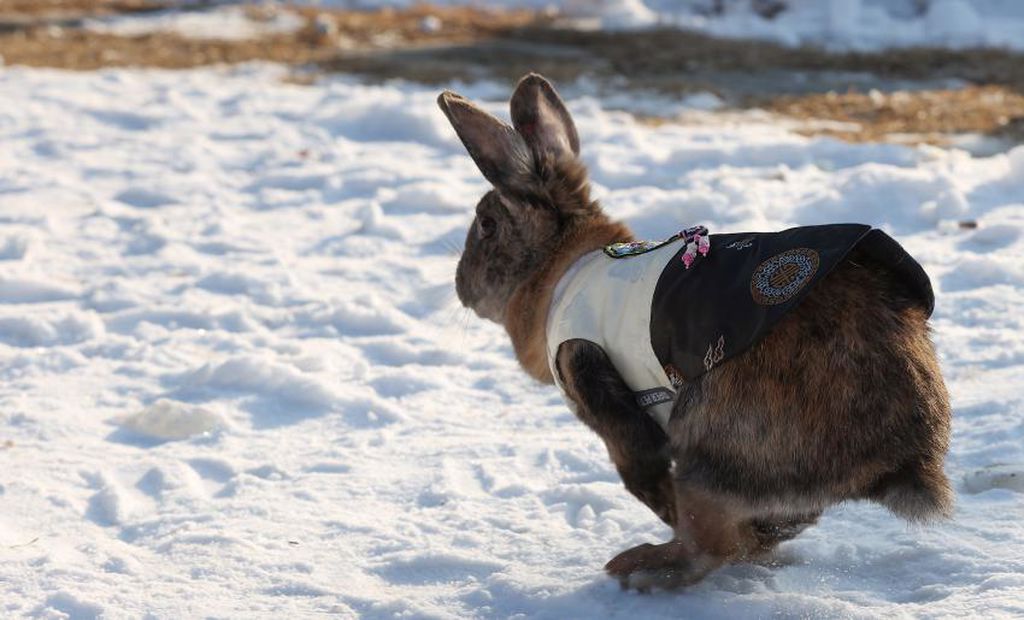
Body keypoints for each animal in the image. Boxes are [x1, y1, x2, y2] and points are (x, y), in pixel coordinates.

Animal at [438, 74, 952, 591]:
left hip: (703, 446)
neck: (560, 268)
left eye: (487, 226)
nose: (461, 286)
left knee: (705, 548)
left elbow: (641, 471)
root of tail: (903, 456)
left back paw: (638, 566)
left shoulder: (594, 382)